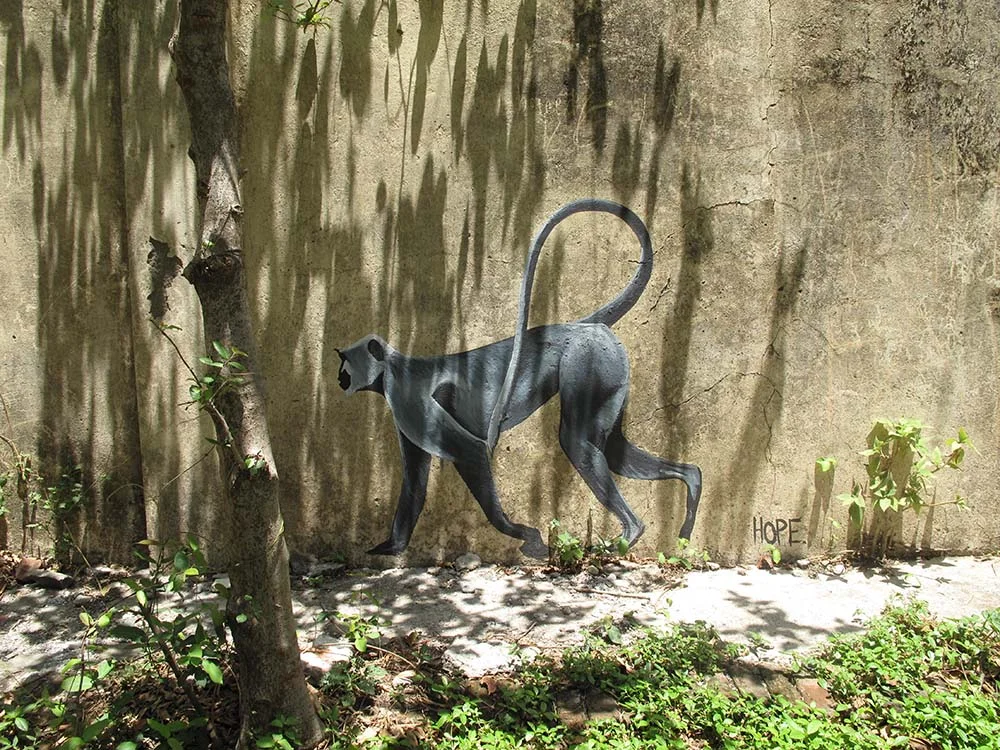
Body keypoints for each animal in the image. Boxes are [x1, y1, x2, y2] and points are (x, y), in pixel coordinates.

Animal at [337, 198, 702, 559]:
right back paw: (688, 499)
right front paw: (392, 547)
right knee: (613, 449)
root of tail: (583, 326)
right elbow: (414, 481)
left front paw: (527, 535)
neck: (392, 367)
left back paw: (628, 534)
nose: (340, 380)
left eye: (346, 366)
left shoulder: (405, 397)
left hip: (590, 362)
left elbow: (469, 451)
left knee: (578, 441)